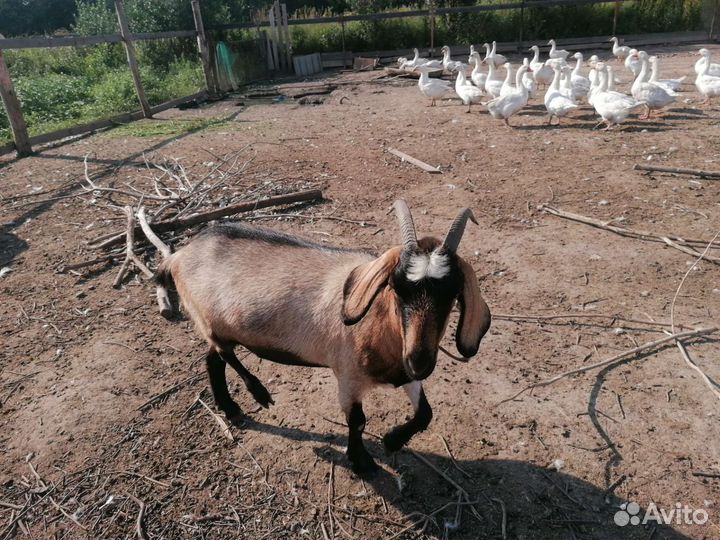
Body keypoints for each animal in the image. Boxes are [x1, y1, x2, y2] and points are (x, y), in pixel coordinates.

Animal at [155, 200, 491, 474]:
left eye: (453, 295)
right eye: (396, 287)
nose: (420, 361)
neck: (378, 323)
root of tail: (179, 256)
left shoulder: (404, 373)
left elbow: (425, 413)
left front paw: (393, 440)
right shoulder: (349, 377)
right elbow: (357, 421)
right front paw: (361, 461)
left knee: (213, 360)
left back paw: (231, 409)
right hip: (208, 320)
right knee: (224, 354)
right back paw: (259, 393)